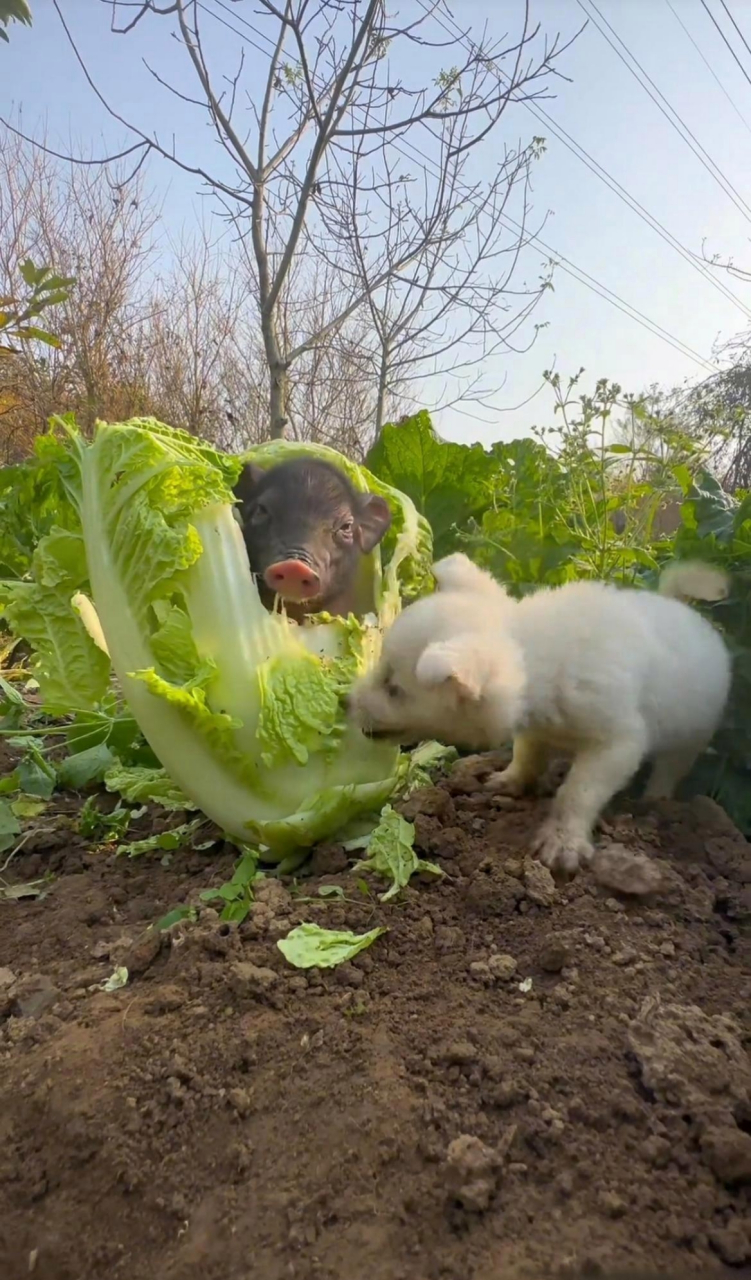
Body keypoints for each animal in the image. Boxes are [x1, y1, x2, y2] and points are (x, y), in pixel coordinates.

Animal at [350, 555, 731, 875]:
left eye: (394, 689)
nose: (346, 703)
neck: (538, 657)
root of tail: (683, 608)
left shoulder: (617, 745)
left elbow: (577, 792)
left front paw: (563, 843)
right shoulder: (534, 728)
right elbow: (527, 755)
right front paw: (511, 781)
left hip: (692, 734)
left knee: (671, 768)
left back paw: (657, 800)